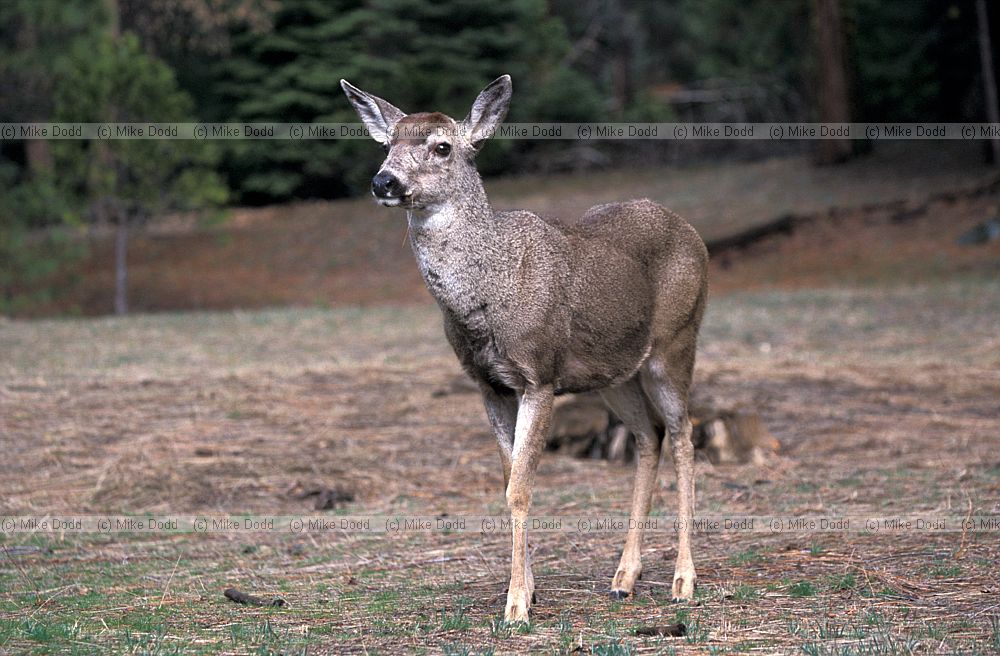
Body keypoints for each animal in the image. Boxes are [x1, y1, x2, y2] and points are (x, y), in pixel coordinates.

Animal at [344, 75, 712, 620]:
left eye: (442, 146)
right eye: (387, 144)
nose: (383, 181)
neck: (486, 296)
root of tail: (694, 234)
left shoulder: (540, 373)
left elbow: (520, 488)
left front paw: (517, 604)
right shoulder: (489, 384)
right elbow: (507, 478)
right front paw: (528, 588)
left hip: (676, 341)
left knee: (684, 434)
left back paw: (683, 580)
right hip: (614, 372)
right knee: (650, 435)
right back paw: (623, 578)